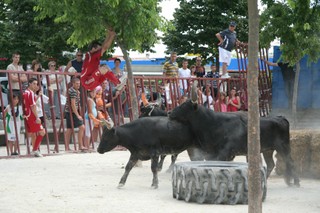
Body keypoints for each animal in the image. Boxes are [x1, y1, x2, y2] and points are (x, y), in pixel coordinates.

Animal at [170, 81, 300, 186]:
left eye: (184, 106)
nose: (170, 112)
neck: (213, 123)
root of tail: (280, 118)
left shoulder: (224, 154)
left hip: (283, 147)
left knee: (291, 162)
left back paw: (296, 183)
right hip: (268, 150)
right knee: (271, 164)